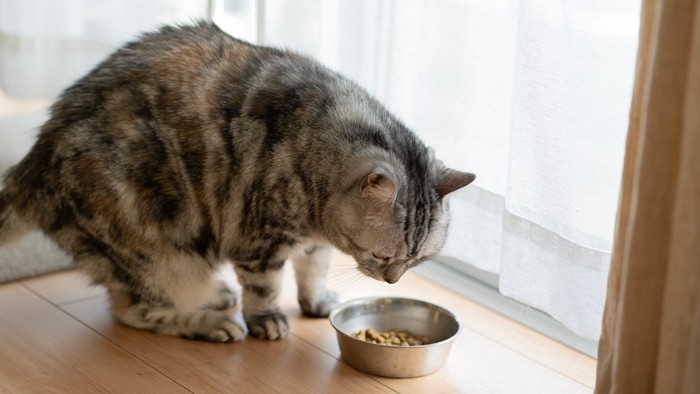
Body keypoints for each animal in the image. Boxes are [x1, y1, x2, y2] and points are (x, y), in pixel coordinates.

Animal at [0, 22, 476, 342]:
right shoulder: (258, 238)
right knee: (136, 309)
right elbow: (266, 288)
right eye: (381, 255)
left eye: (417, 262)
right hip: (154, 249)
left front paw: (316, 300)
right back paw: (210, 323)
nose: (393, 282)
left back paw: (216, 296)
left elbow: (313, 271)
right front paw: (268, 320)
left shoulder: (313, 243)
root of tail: (29, 166)